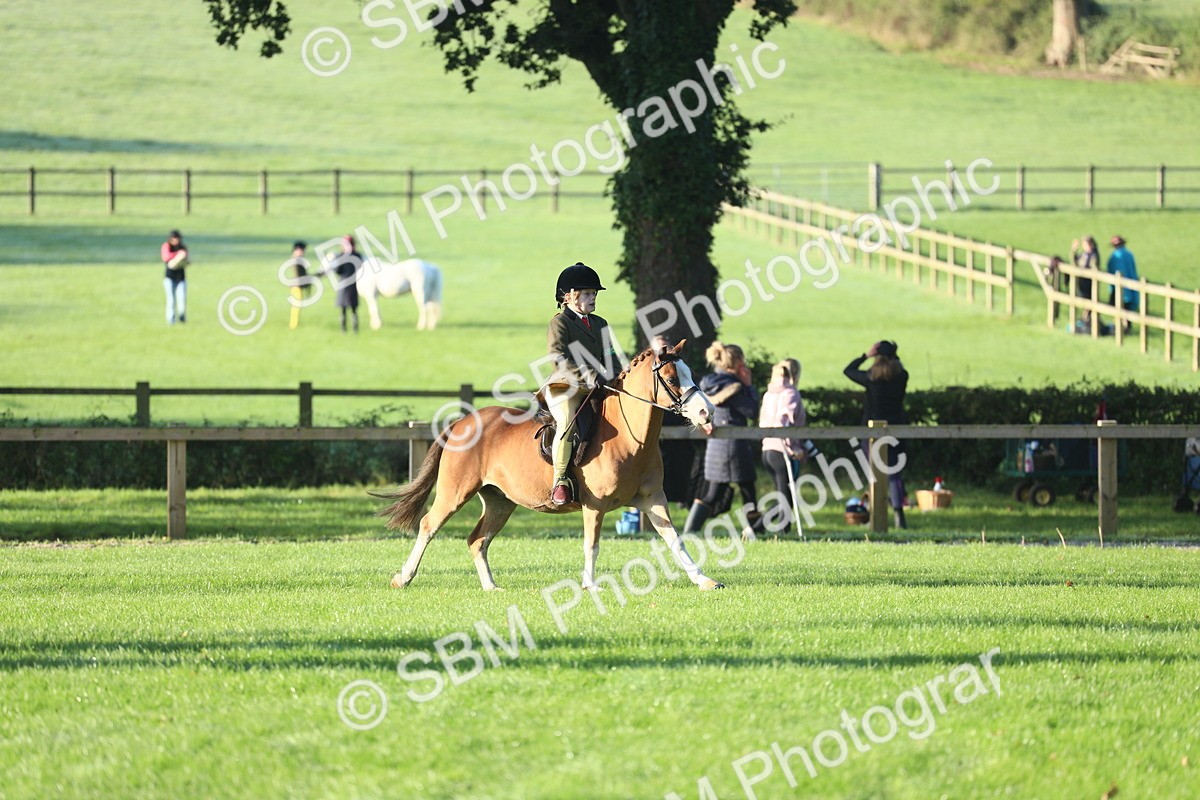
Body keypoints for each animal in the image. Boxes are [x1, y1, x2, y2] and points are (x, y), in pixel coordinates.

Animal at [374, 341, 724, 591]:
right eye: (671, 378)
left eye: (691, 375)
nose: (706, 412)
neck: (631, 438)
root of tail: (462, 422)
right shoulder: (595, 504)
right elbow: (592, 544)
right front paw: (590, 585)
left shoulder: (653, 499)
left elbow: (675, 539)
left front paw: (704, 580)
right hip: (455, 492)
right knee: (428, 525)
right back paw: (403, 578)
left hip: (500, 501)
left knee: (477, 540)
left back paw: (491, 587)